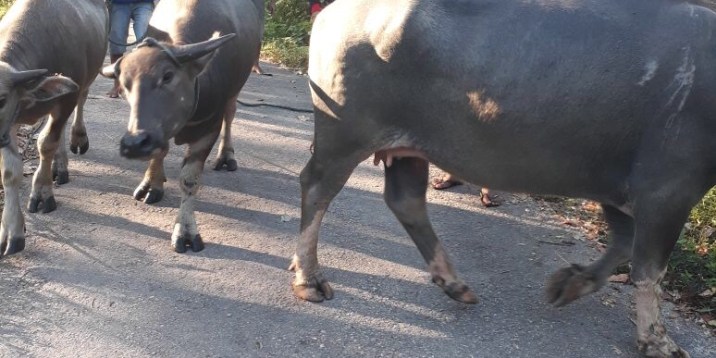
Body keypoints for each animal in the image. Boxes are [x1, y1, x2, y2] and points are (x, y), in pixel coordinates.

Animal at [0, 0, 107, 258]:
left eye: (1, 99)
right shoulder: (9, 123)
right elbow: (10, 170)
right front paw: (12, 230)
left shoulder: (66, 99)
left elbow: (46, 143)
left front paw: (42, 192)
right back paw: (59, 167)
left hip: (85, 82)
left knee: (81, 103)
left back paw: (77, 139)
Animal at [102, 0, 264, 253]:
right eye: (125, 83)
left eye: (167, 76)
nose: (133, 144)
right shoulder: (157, 131)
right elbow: (159, 152)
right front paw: (152, 184)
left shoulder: (208, 131)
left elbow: (189, 180)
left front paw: (185, 231)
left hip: (235, 92)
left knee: (230, 115)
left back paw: (226, 156)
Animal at [292, 0, 716, 356]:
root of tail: (332, 11)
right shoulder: (667, 192)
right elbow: (649, 270)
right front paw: (658, 340)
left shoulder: (617, 188)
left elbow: (624, 245)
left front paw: (572, 283)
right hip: (345, 135)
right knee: (317, 189)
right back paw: (308, 278)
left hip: (407, 149)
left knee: (405, 200)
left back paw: (453, 282)